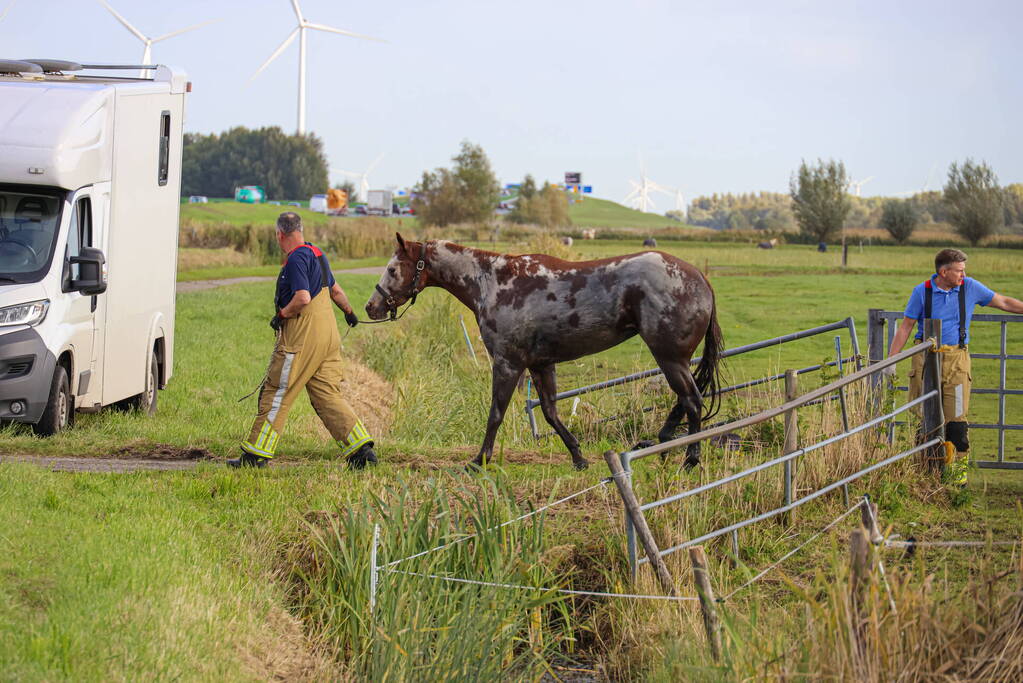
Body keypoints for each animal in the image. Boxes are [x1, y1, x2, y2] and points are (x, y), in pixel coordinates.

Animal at [365, 234, 724, 471]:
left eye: (393, 270)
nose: (371, 307)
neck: (494, 283)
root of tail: (701, 278)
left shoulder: (508, 364)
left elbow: (495, 414)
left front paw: (479, 460)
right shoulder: (540, 365)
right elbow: (551, 413)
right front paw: (578, 457)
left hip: (669, 357)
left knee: (692, 400)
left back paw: (690, 459)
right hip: (673, 360)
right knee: (684, 400)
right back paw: (665, 443)